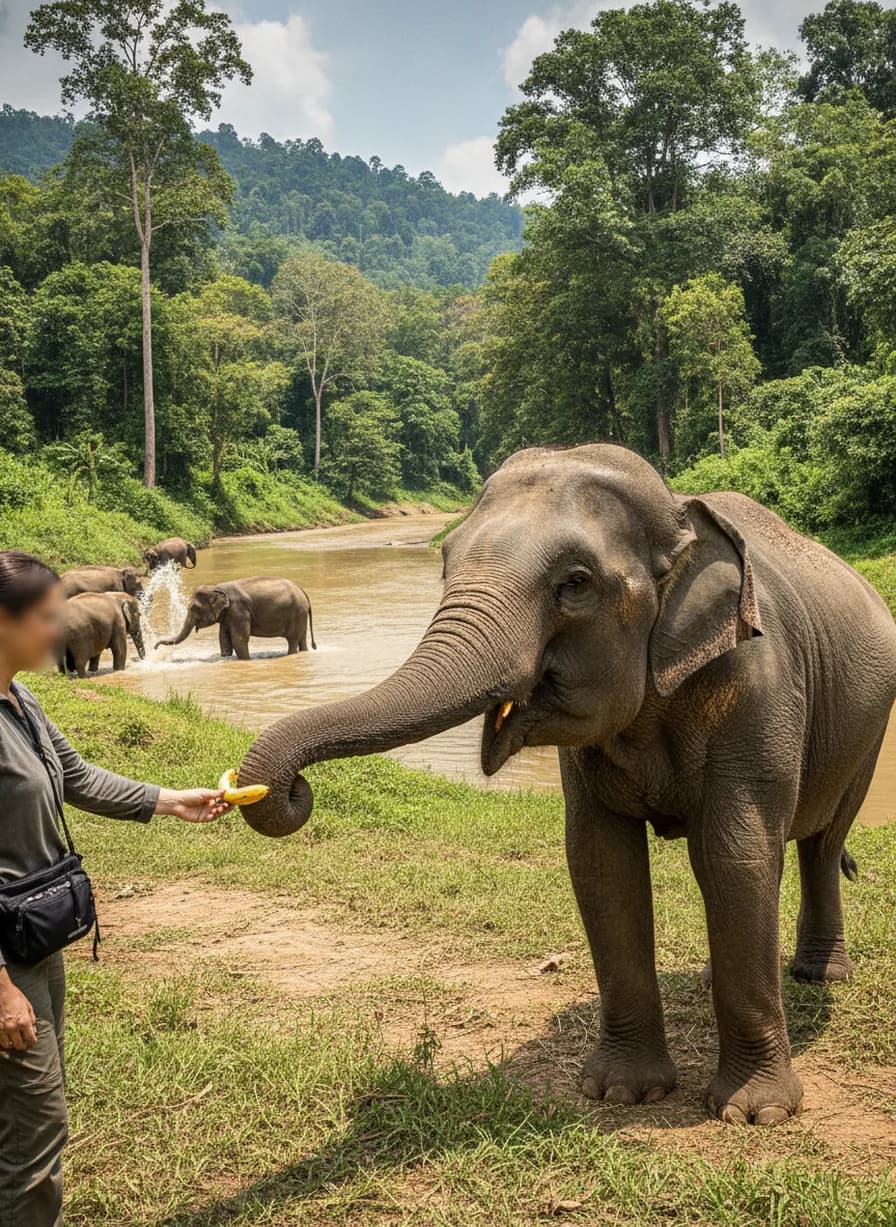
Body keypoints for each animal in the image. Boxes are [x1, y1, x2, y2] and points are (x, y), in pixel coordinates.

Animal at [156, 577, 316, 659]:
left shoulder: (239, 611)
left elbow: (238, 640)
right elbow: (224, 640)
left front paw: (245, 660)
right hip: (301, 615)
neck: (216, 586)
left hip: (296, 613)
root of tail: (303, 591)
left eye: (194, 608)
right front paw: (226, 657)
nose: (155, 647)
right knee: (301, 639)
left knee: (292, 640)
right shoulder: (228, 615)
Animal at [235, 444, 896, 1126]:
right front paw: (621, 1092)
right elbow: (602, 862)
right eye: (445, 561)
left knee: (820, 841)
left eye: (575, 584)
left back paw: (821, 976)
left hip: (870, 729)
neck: (680, 517)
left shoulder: (757, 686)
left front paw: (753, 1114)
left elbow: (735, 855)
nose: (284, 789)